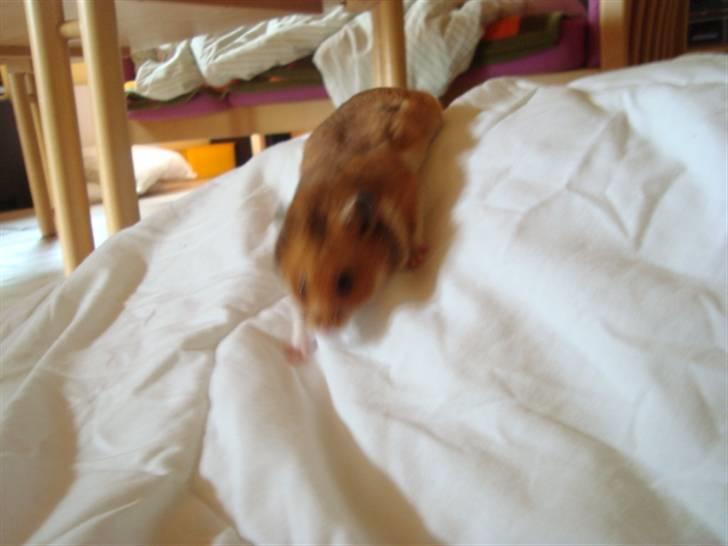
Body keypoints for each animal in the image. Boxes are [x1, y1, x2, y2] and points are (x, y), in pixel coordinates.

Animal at [275, 88, 443, 362]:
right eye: (302, 287)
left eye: (345, 282)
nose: (324, 329)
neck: (325, 202)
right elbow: (297, 313)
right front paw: (295, 354)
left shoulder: (408, 185)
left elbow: (414, 221)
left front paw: (416, 259)